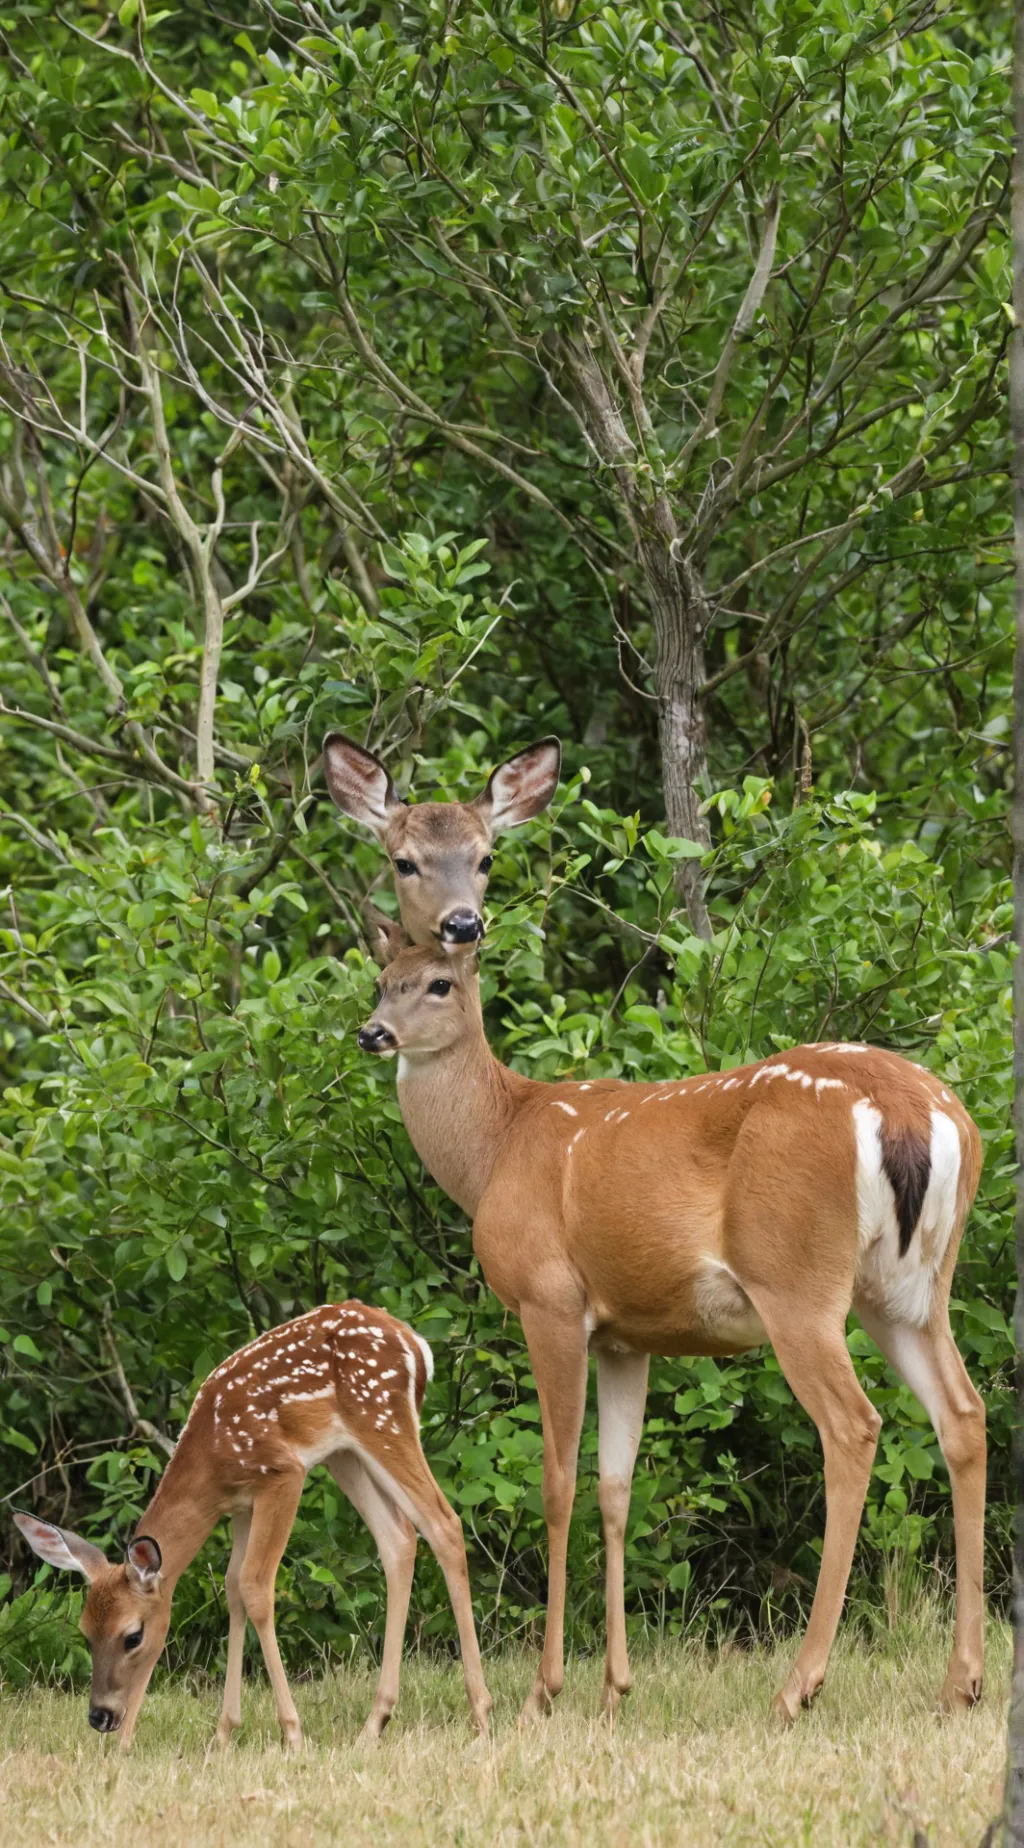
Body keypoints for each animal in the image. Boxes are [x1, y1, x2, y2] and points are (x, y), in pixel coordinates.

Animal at [14, 1302, 492, 1750]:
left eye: (133, 1636)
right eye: (85, 1632)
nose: (102, 1717)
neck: (210, 1462)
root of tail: (414, 1342)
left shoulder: (281, 1473)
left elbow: (256, 1586)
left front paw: (292, 1733)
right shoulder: (242, 1503)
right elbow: (232, 1589)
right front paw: (224, 1734)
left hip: (381, 1418)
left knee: (444, 1524)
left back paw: (481, 1714)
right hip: (346, 1454)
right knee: (399, 1538)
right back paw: (375, 1722)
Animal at [354, 937, 986, 1730]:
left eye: (439, 983)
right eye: (382, 981)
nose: (372, 1033)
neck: (496, 1147)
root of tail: (912, 1112)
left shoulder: (549, 1298)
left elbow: (556, 1482)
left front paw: (543, 1690)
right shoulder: (627, 1335)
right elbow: (616, 1486)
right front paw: (614, 1688)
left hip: (796, 1280)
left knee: (854, 1424)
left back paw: (798, 1686)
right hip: (911, 1289)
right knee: (963, 1413)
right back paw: (961, 1683)